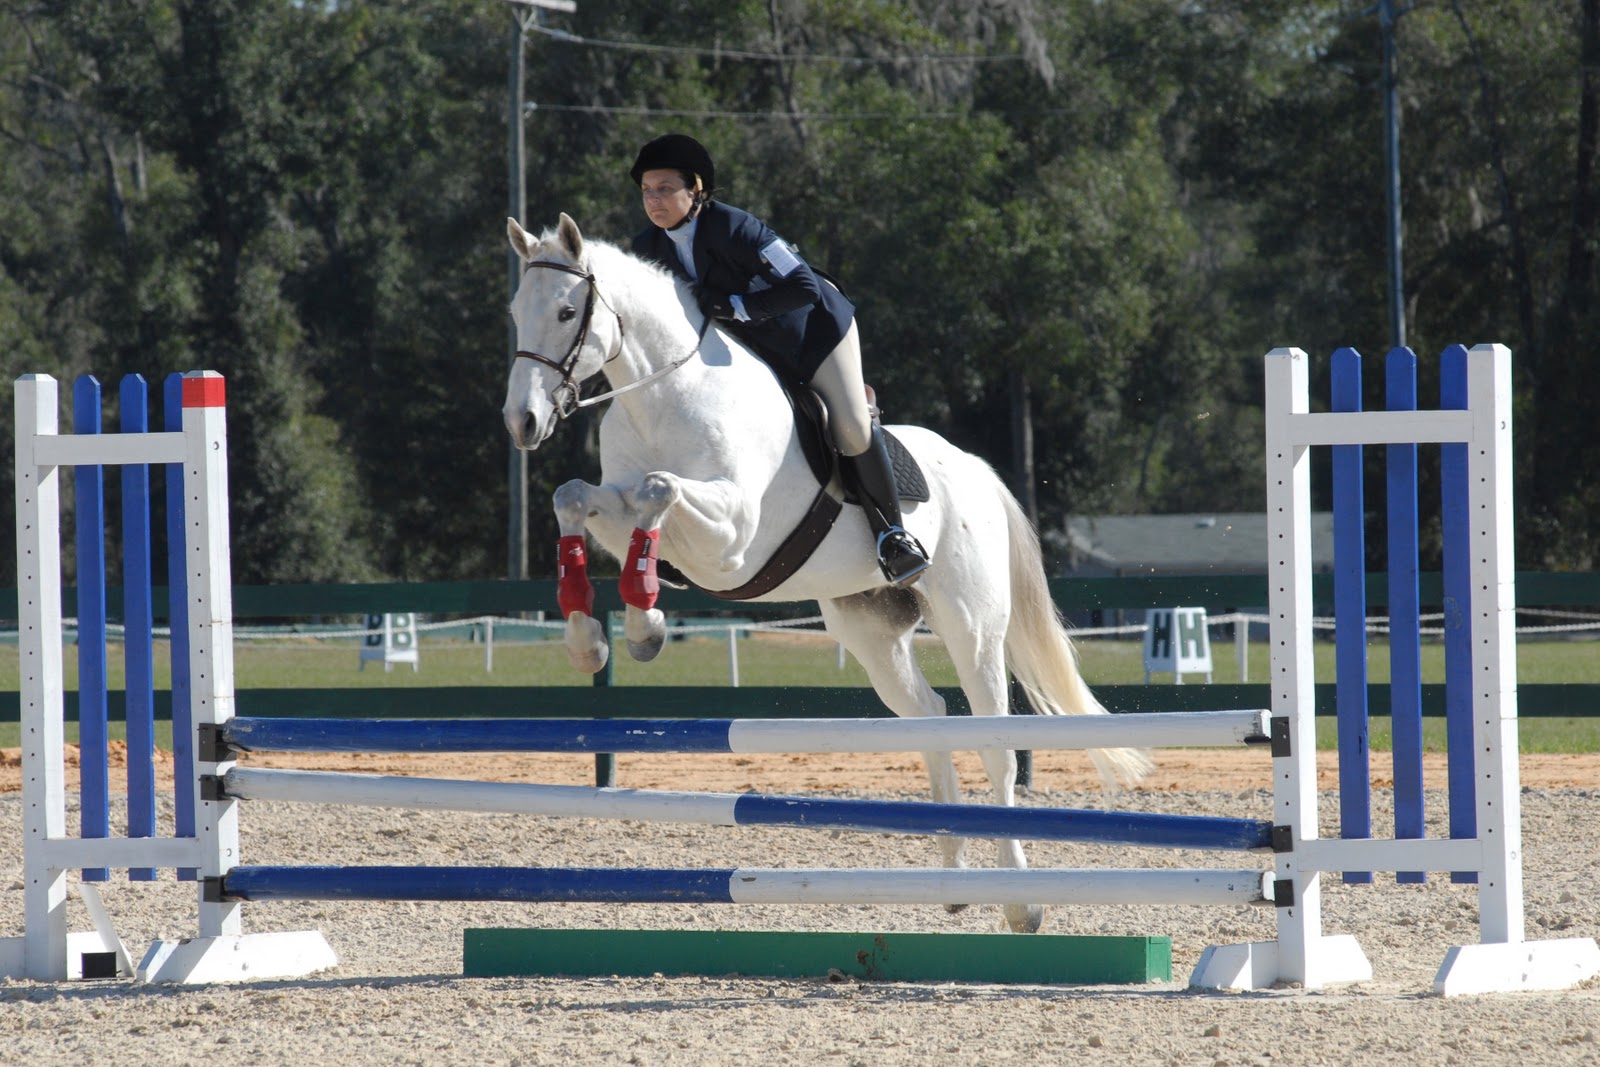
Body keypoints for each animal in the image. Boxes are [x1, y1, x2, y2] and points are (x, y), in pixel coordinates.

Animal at [502, 213, 1151, 933]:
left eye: (567, 312)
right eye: (515, 313)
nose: (522, 422)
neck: (664, 396)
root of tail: (977, 470)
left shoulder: (733, 538)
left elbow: (657, 490)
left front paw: (644, 625)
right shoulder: (622, 515)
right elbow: (575, 498)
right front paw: (592, 637)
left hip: (972, 621)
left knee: (996, 745)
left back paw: (1020, 902)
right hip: (870, 627)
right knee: (930, 716)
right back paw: (953, 878)